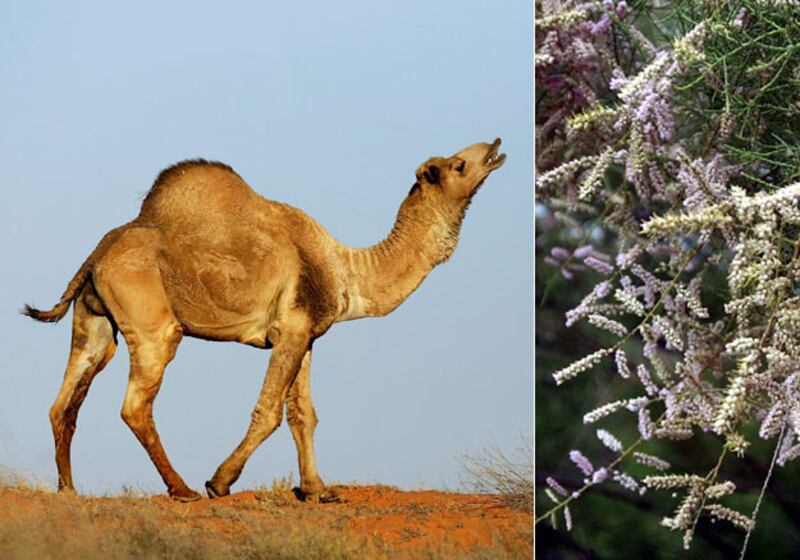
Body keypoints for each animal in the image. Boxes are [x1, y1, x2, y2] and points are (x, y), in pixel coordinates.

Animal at [23, 138, 506, 502]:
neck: (345, 269)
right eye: (458, 164)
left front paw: (317, 491)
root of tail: (98, 253)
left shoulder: (305, 335)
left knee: (65, 401)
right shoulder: (290, 330)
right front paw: (219, 482)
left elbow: (304, 415)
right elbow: (269, 412)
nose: (495, 146)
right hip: (153, 325)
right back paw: (183, 489)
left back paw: (68, 490)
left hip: (93, 322)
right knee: (135, 405)